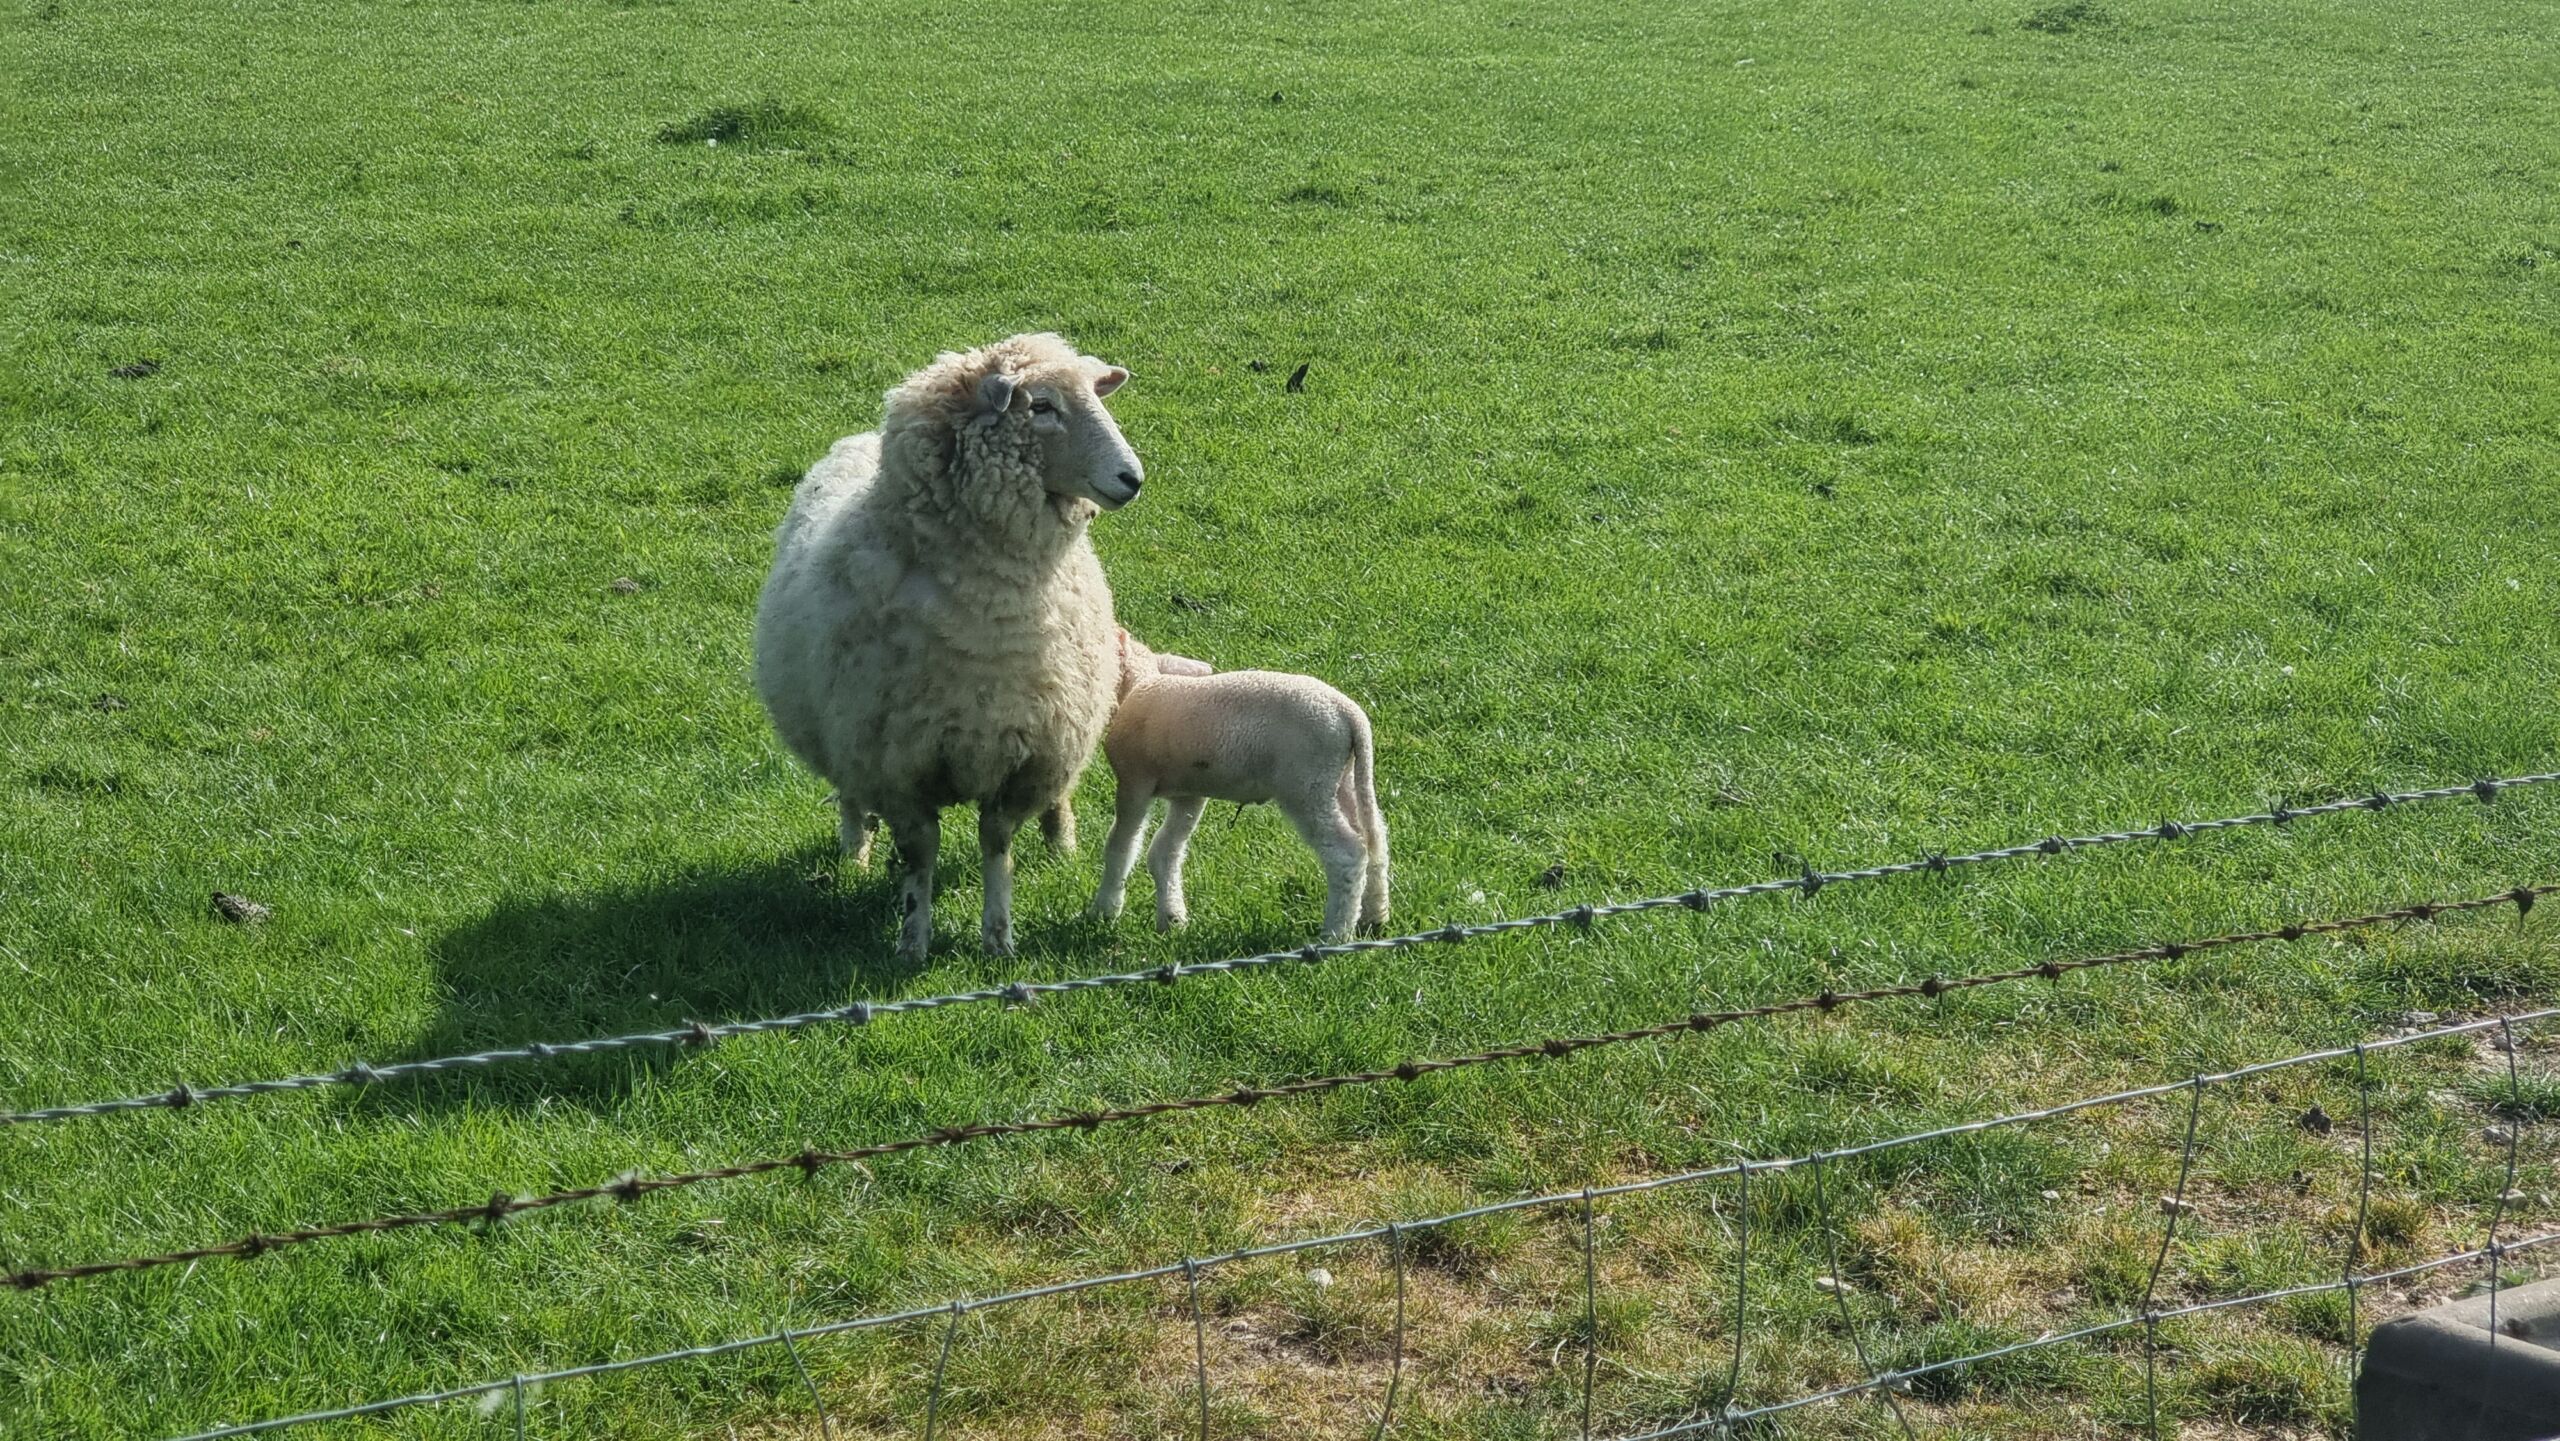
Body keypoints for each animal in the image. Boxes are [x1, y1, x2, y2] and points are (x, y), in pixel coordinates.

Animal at [753, 333, 1143, 960]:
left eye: (1093, 394)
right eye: (1041, 406)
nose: (1133, 478)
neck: (993, 618)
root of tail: (856, 440)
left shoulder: (1026, 756)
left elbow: (996, 846)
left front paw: (998, 937)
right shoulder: (896, 764)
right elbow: (921, 855)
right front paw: (913, 942)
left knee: (1056, 801)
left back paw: (1061, 845)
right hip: (843, 736)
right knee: (849, 797)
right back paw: (855, 852)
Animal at [1089, 630, 1390, 941]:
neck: (1139, 686)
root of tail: (1350, 715)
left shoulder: (1134, 782)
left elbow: (1121, 846)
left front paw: (1104, 911)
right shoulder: (1190, 794)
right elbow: (1166, 851)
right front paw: (1172, 919)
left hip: (1306, 784)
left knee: (1347, 852)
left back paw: (1335, 933)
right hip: (1340, 780)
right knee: (1374, 838)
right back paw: (1373, 915)